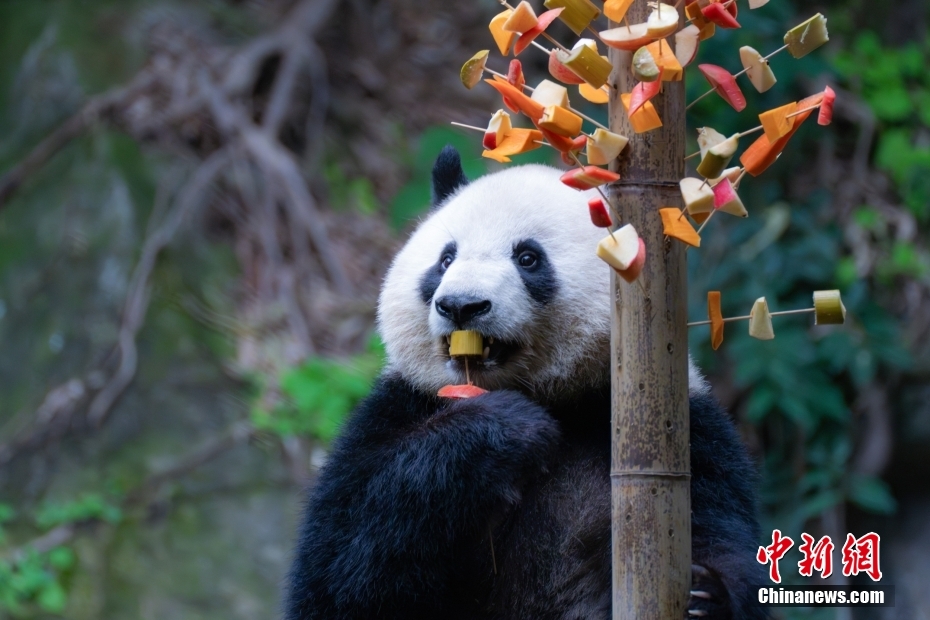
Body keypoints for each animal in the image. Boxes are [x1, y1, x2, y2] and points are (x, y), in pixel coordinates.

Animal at [286, 147, 764, 620]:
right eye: (445, 259)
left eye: (528, 258)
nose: (461, 306)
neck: (551, 395)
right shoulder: (399, 407)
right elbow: (340, 568)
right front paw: (506, 432)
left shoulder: (684, 431)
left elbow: (720, 533)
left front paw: (705, 598)